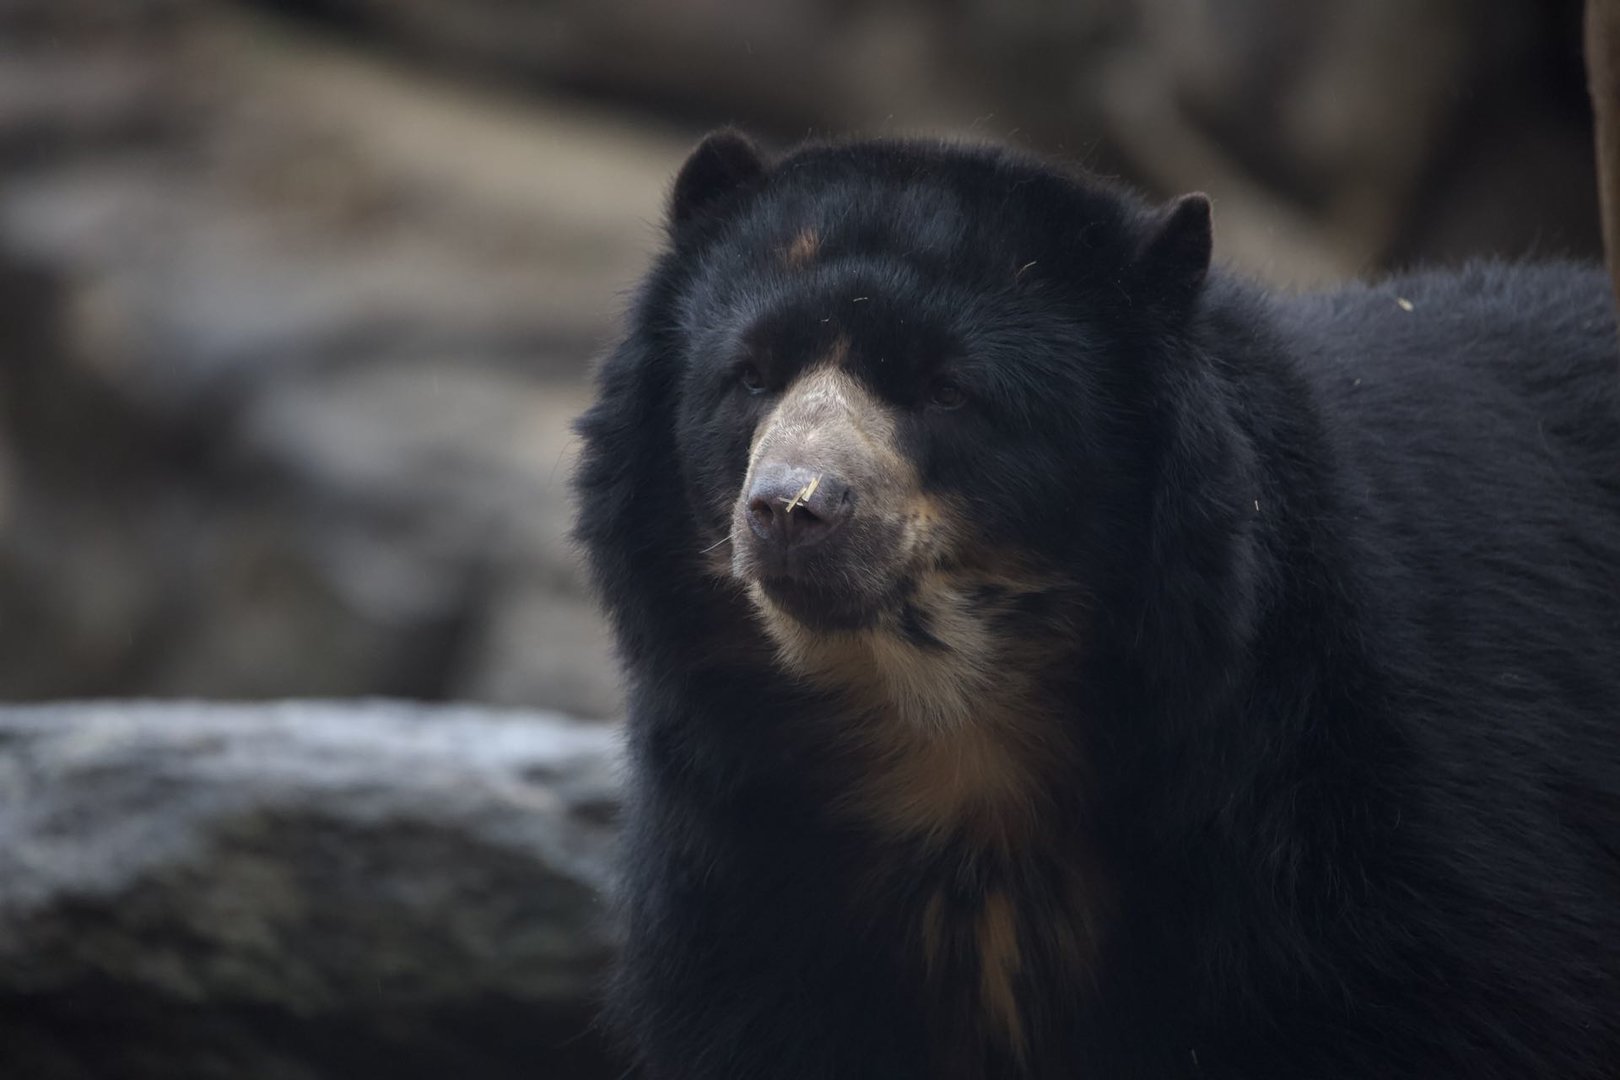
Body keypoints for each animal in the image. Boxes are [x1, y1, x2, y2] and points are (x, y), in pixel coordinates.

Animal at [572, 130, 1620, 1079]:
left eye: (948, 391)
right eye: (750, 376)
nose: (793, 510)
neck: (956, 741)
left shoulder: (1355, 816)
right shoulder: (741, 870)